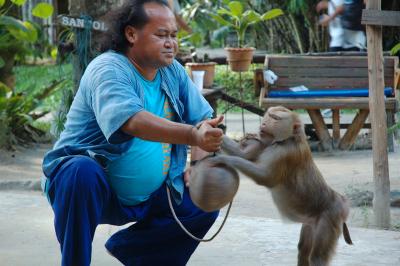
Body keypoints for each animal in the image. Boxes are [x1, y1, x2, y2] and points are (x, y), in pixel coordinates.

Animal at [208, 106, 352, 266]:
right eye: (269, 115)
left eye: (276, 118)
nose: (264, 124)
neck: (287, 139)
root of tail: (342, 201)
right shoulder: (266, 143)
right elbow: (243, 154)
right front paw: (209, 127)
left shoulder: (284, 153)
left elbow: (266, 178)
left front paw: (224, 158)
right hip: (312, 221)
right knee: (303, 250)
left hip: (330, 217)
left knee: (317, 258)